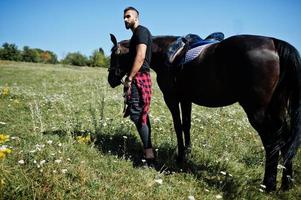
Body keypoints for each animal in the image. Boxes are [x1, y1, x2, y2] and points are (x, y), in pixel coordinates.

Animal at [108, 32, 300, 191]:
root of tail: (274, 43)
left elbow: (177, 126)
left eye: (114, 54)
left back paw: (268, 184)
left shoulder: (171, 98)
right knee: (285, 139)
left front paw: (180, 156)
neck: (168, 53)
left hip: (258, 112)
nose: (111, 79)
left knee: (272, 143)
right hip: (277, 110)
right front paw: (187, 153)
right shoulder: (186, 99)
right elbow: (186, 125)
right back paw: (286, 183)